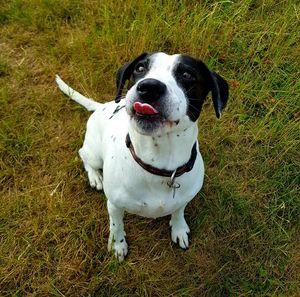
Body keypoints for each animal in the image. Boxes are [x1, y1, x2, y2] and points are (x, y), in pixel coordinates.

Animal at [56, 52, 229, 260]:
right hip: (94, 153)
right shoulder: (114, 205)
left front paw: (179, 228)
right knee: (83, 154)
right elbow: (116, 226)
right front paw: (118, 245)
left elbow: (178, 211)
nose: (149, 87)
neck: (159, 163)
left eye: (187, 74)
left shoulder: (184, 198)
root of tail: (101, 106)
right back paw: (95, 177)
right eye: (140, 68)